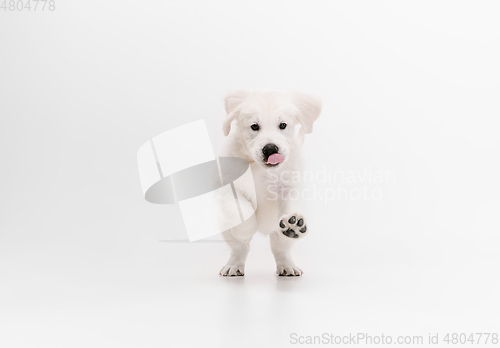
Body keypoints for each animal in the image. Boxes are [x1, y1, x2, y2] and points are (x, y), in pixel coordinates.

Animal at [218, 89, 320, 278]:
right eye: (254, 126)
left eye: (283, 125)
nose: (271, 149)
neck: (261, 169)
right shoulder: (226, 187)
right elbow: (241, 208)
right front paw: (245, 230)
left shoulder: (288, 190)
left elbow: (286, 212)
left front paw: (293, 223)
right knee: (239, 248)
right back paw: (234, 265)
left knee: (280, 247)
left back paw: (288, 259)